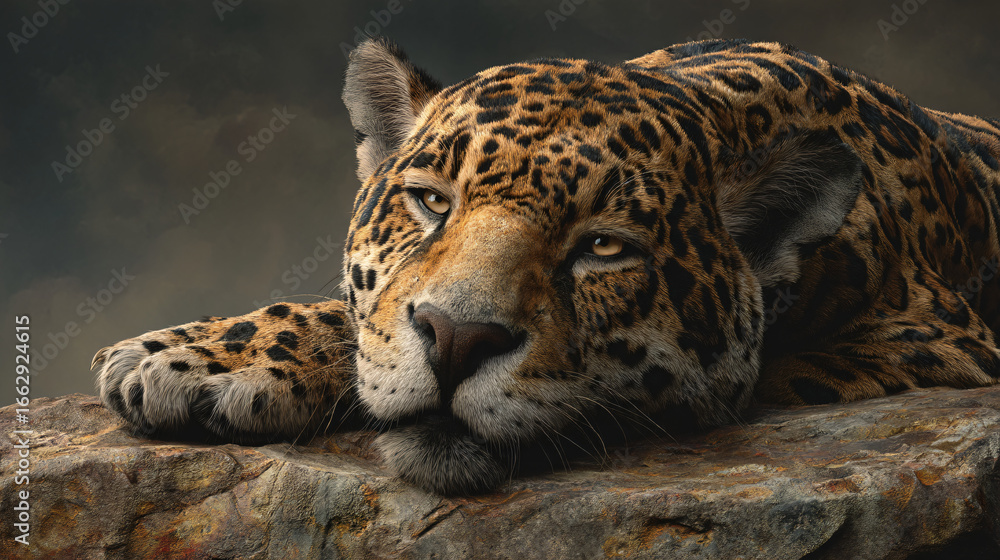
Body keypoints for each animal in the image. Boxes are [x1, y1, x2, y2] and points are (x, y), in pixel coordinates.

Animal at [92, 37, 1000, 495]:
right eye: (432, 202)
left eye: (604, 247)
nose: (456, 339)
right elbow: (361, 314)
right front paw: (200, 354)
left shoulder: (945, 345)